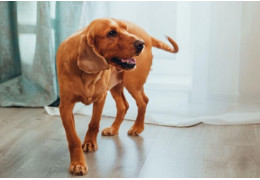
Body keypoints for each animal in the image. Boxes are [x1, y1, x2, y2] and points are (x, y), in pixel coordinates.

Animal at [56, 17, 179, 175]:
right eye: (111, 33)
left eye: (125, 28)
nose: (141, 44)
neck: (88, 75)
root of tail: (147, 35)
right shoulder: (65, 107)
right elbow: (73, 138)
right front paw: (78, 163)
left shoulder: (100, 98)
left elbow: (94, 124)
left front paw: (89, 142)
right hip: (116, 86)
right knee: (124, 106)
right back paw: (114, 129)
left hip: (133, 83)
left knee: (143, 101)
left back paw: (137, 127)